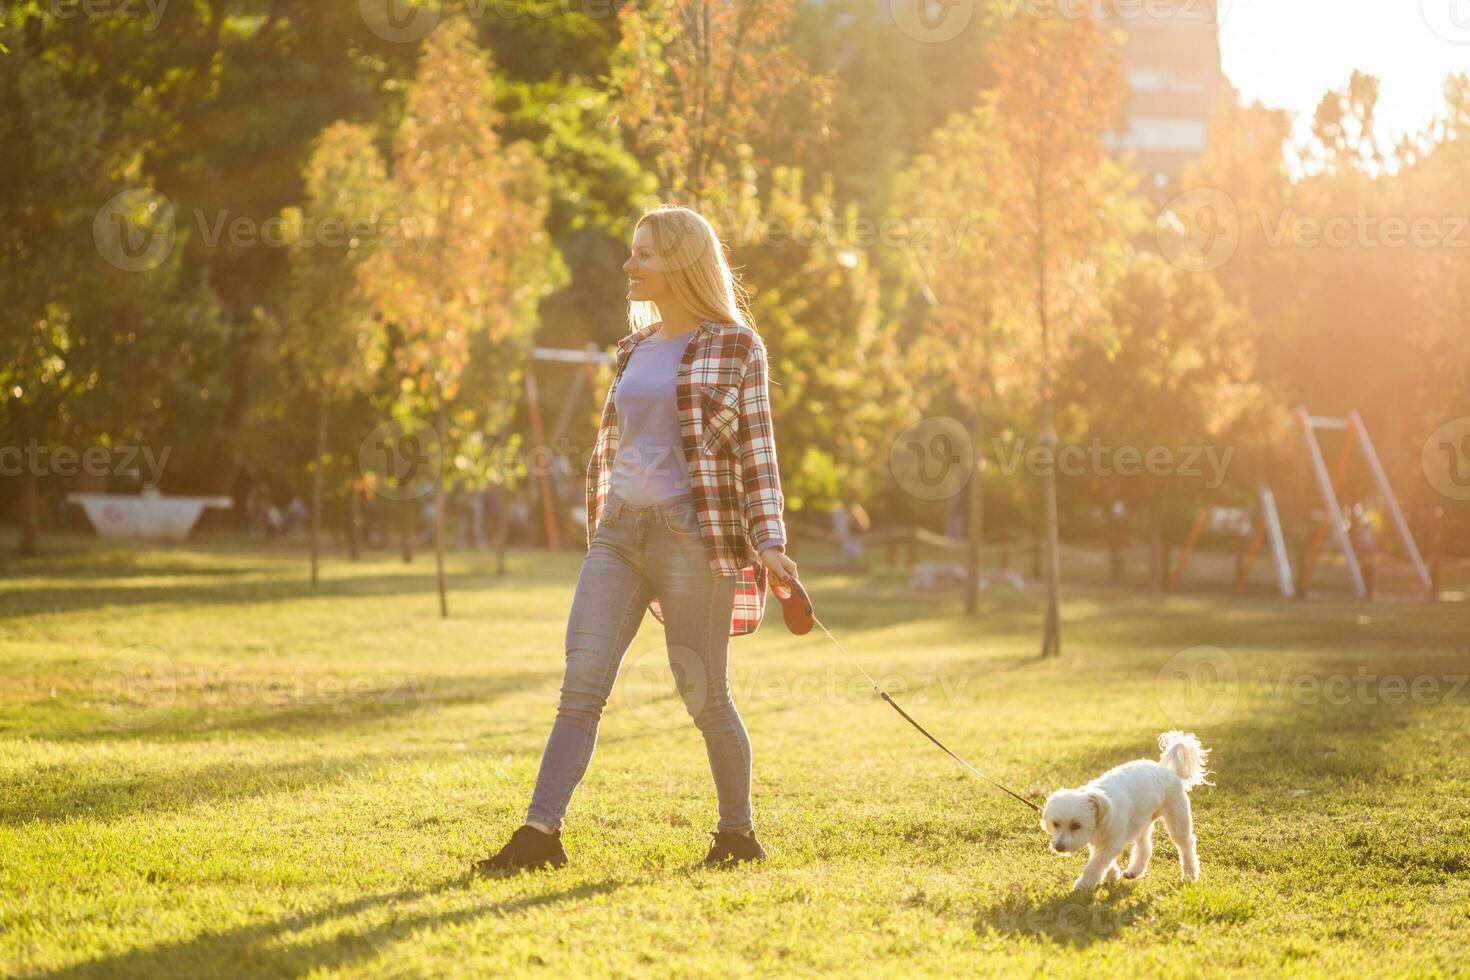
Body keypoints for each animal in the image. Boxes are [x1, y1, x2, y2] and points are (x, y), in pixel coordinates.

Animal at [1040, 731, 1211, 893]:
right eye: (1055, 824)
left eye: (1076, 825)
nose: (1058, 847)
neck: (1101, 818)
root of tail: (1165, 769)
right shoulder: (1101, 842)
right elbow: (1103, 861)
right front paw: (1112, 874)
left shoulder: (1111, 843)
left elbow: (1095, 865)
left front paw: (1083, 885)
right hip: (1141, 822)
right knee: (1145, 848)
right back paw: (1135, 871)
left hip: (1177, 817)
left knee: (1186, 844)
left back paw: (1190, 875)